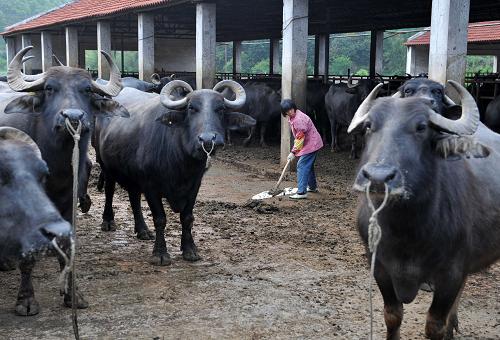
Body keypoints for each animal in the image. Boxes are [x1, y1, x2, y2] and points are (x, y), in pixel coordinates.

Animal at [95, 80, 256, 266]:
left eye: (220, 109)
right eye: (191, 108)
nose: (208, 140)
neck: (181, 161)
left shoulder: (194, 184)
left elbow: (187, 217)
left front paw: (190, 250)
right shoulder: (150, 186)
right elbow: (160, 218)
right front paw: (160, 254)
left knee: (134, 197)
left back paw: (143, 230)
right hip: (105, 165)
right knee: (109, 191)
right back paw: (108, 222)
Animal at [350, 81, 498, 338]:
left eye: (421, 127)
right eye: (369, 126)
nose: (378, 177)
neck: (406, 229)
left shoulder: (451, 273)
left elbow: (435, 324)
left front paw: (443, 328)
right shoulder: (378, 266)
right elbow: (392, 315)